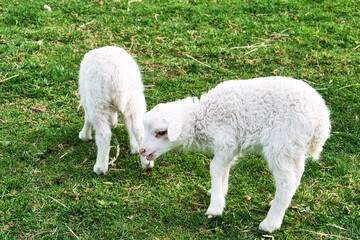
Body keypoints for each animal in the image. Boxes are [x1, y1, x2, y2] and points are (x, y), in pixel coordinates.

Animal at [78, 46, 153, 174]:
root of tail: (118, 78)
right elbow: (127, 122)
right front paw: (134, 147)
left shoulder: (87, 100)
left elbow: (87, 119)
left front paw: (84, 135)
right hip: (135, 99)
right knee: (139, 129)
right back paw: (147, 164)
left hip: (98, 103)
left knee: (104, 134)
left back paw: (100, 168)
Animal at [139, 76, 330, 232]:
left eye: (161, 132)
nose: (142, 150)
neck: (201, 116)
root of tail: (321, 120)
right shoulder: (230, 147)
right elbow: (224, 168)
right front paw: (219, 191)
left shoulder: (226, 141)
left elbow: (215, 168)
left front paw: (215, 207)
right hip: (294, 146)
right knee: (298, 173)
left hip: (281, 143)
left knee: (286, 181)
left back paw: (270, 223)